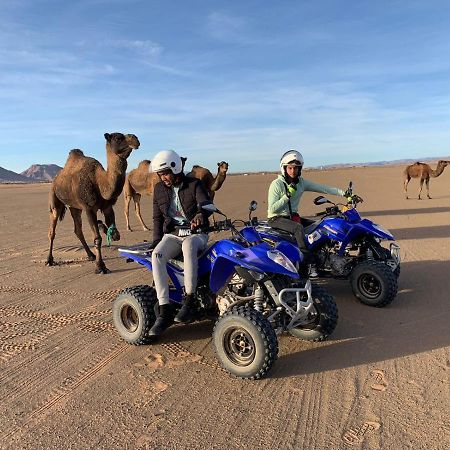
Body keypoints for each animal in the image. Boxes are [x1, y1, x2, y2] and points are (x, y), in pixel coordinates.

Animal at [46, 133, 139, 274]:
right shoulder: (89, 208)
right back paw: (49, 260)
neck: (100, 182)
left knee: (78, 230)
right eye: (118, 137)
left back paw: (91, 255)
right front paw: (100, 267)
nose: (135, 138)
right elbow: (97, 238)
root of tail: (56, 179)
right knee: (52, 230)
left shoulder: (107, 207)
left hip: (75, 207)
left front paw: (103, 227)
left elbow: (115, 234)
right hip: (55, 199)